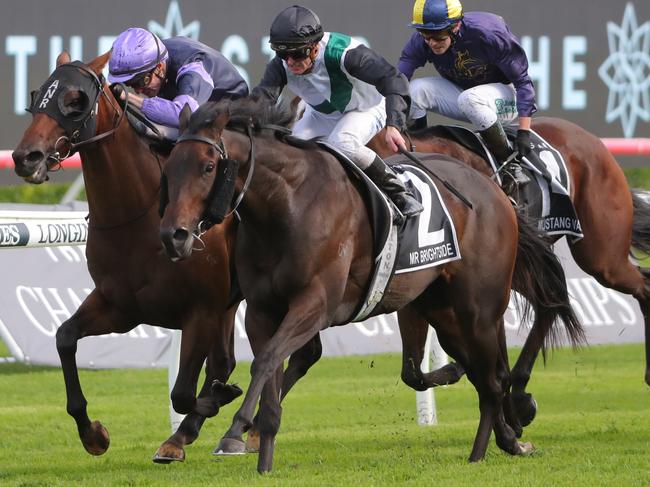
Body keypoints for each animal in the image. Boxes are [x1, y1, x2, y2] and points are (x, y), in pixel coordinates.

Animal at [11, 51, 242, 464]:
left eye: (75, 100)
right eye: (38, 95)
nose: (26, 157)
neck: (138, 214)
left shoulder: (200, 311)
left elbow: (182, 393)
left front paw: (216, 400)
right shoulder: (121, 306)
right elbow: (64, 337)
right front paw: (93, 434)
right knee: (224, 361)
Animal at [158, 99, 576, 472]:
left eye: (208, 166)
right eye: (170, 168)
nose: (173, 236)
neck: (287, 205)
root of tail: (495, 189)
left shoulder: (315, 305)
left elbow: (265, 361)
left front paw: (236, 429)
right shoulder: (262, 312)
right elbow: (269, 369)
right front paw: (260, 453)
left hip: (479, 310)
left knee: (494, 377)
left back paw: (491, 444)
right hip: (443, 311)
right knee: (481, 376)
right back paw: (501, 441)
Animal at [370, 120, 648, 390]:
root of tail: (592, 139)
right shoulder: (417, 278)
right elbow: (412, 372)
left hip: (601, 258)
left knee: (639, 285)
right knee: (549, 302)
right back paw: (520, 384)